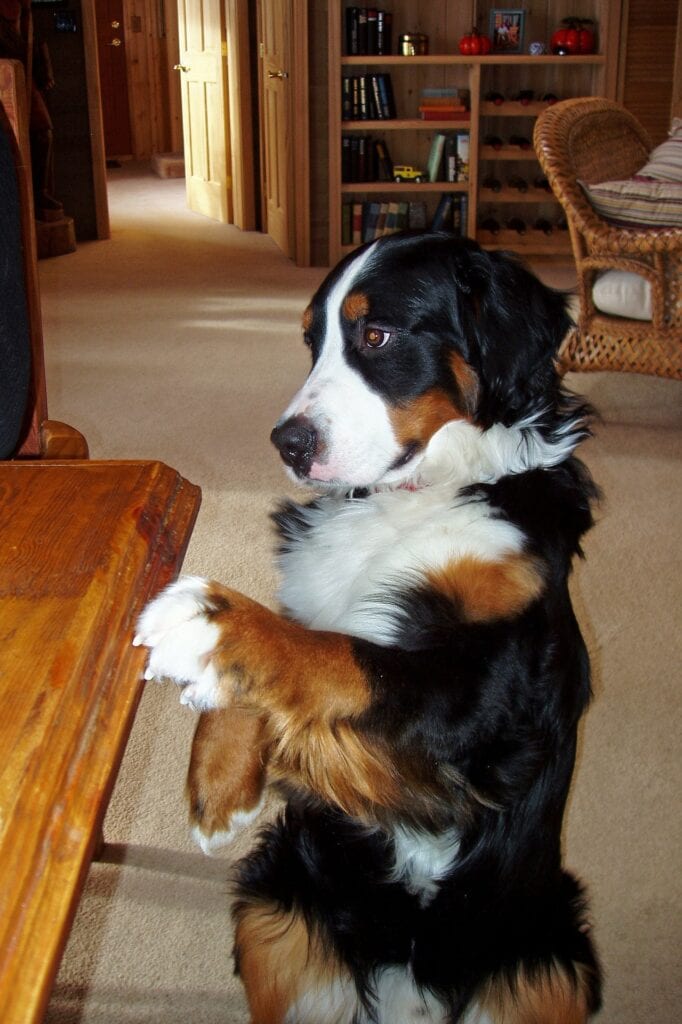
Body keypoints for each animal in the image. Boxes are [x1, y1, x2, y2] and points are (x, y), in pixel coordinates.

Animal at [134, 234, 602, 1024]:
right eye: (310, 342)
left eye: (376, 335)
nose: (287, 443)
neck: (407, 497)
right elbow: (305, 654)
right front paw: (219, 791)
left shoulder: (489, 704)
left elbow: (338, 656)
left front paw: (209, 622)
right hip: (276, 908)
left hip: (548, 964)